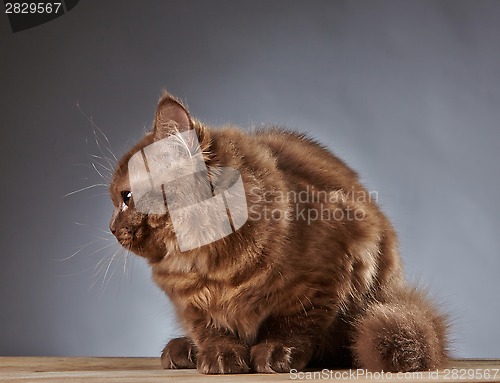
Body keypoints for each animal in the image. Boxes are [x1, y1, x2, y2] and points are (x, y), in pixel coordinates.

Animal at [109, 91, 450, 374]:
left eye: (126, 197)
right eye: (117, 199)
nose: (111, 228)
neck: (210, 261)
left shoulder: (331, 271)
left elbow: (294, 323)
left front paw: (276, 353)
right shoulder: (190, 304)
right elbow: (210, 329)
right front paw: (221, 356)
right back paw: (181, 350)